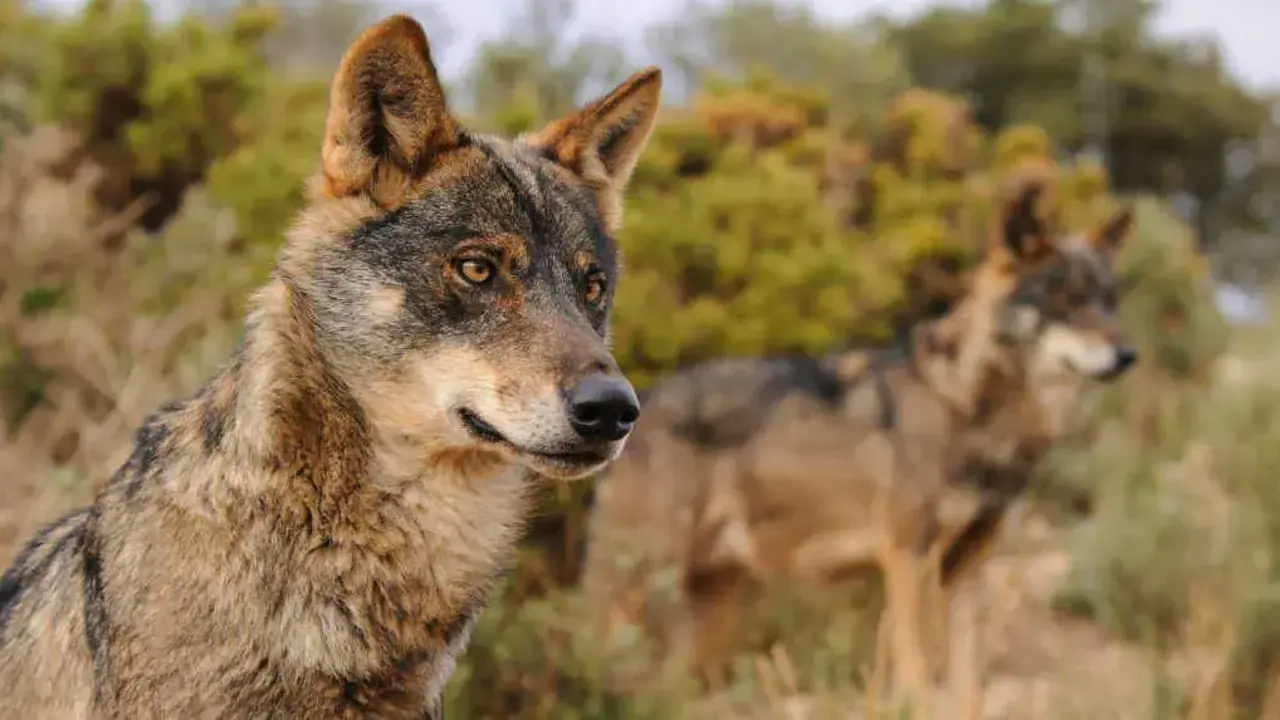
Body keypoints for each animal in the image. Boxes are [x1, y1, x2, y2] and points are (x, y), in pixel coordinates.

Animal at [581, 182, 1137, 698]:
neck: (967, 408)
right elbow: (917, 677)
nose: (1128, 354)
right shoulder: (910, 558)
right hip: (639, 594)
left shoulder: (969, 571)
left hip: (711, 612)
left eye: (1110, 302)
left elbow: (968, 691)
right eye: (1067, 301)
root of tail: (639, 402)